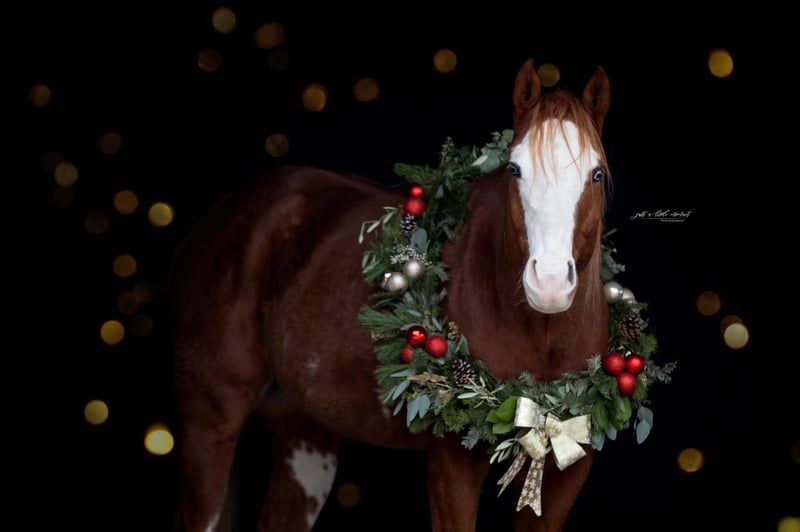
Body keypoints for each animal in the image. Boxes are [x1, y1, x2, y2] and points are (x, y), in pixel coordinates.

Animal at [171, 58, 612, 531]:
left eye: (596, 174)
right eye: (515, 170)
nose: (548, 282)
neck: (541, 335)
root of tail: (222, 215)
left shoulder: (569, 471)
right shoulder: (451, 466)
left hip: (303, 436)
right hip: (210, 426)